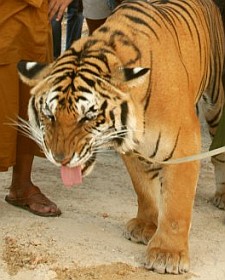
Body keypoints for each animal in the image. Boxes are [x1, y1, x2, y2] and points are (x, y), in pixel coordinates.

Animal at [18, 0, 225, 276]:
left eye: (88, 116)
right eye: (49, 114)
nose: (60, 158)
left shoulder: (185, 145)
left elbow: (177, 204)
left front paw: (167, 254)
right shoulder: (129, 148)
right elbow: (144, 189)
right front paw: (146, 226)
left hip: (216, 104)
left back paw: (222, 196)